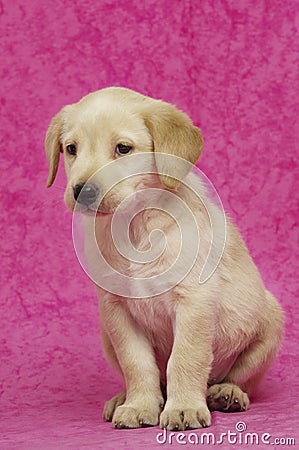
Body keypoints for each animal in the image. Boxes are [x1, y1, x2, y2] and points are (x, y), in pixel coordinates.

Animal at [45, 87, 284, 428]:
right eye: (71, 149)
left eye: (123, 148)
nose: (82, 192)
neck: (135, 228)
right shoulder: (117, 311)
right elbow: (137, 363)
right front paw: (139, 405)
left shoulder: (194, 301)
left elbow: (185, 358)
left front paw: (183, 407)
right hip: (106, 334)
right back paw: (124, 398)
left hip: (270, 321)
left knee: (241, 378)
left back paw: (227, 393)